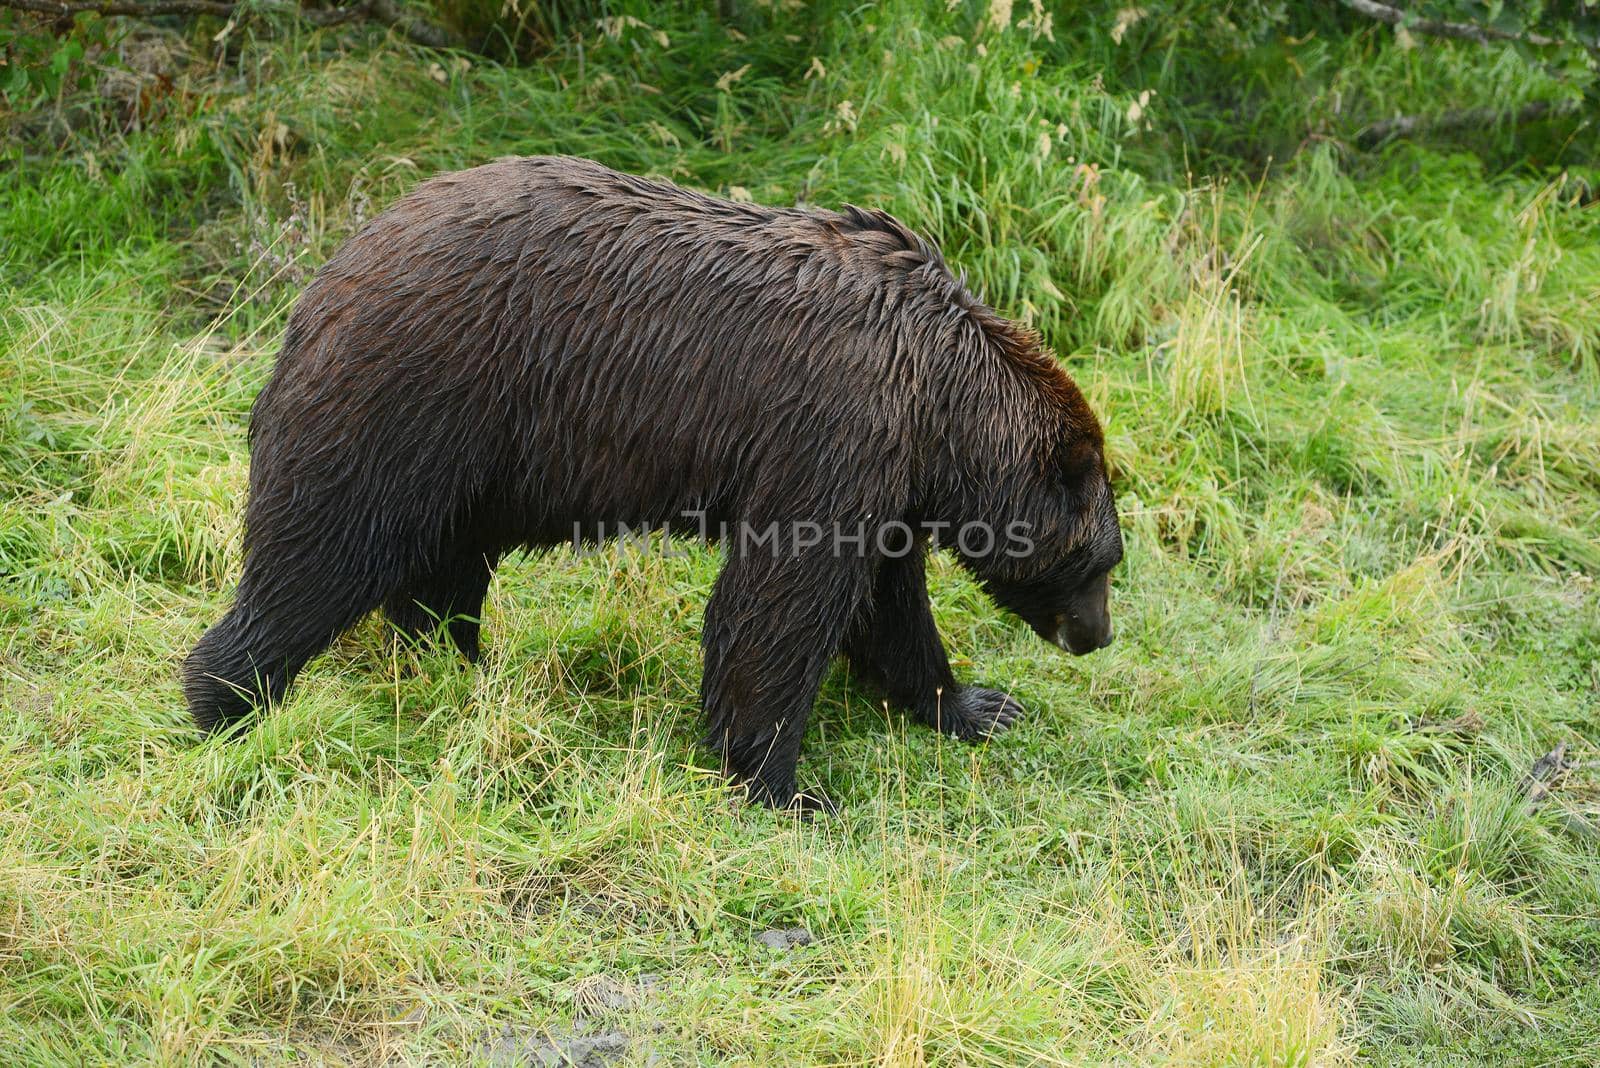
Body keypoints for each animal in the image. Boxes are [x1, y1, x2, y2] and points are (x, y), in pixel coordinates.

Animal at [181, 154, 1120, 805]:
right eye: (1104, 562)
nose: (1098, 634)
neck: (943, 402)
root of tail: (327, 275)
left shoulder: (884, 481)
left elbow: (887, 605)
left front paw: (974, 705)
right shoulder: (833, 433)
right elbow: (782, 601)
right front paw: (782, 782)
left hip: (478, 462)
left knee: (443, 569)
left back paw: (461, 666)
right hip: (411, 400)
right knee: (322, 553)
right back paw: (227, 701)